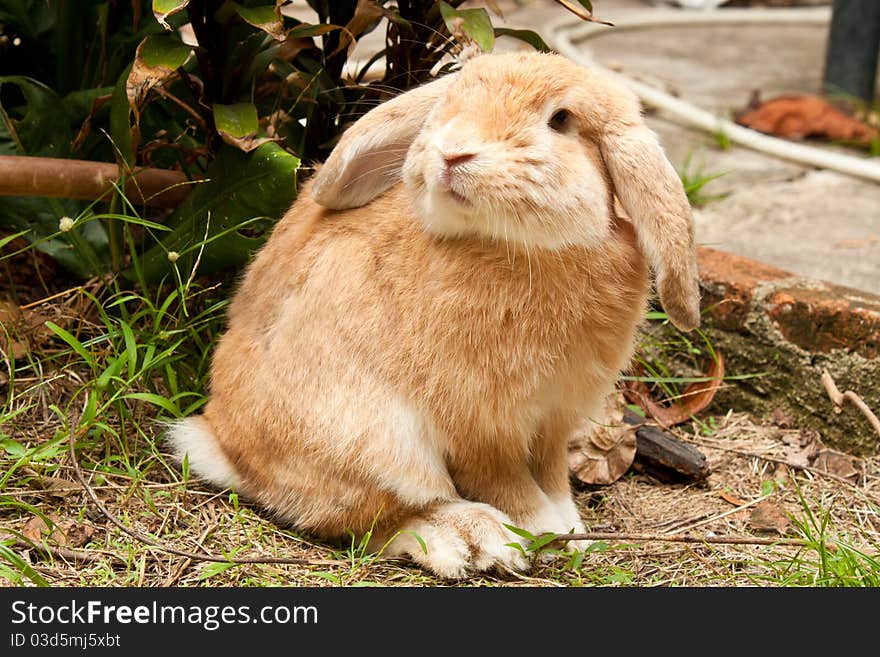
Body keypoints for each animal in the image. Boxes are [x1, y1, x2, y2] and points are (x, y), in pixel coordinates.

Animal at [168, 51, 696, 576]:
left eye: (561, 120)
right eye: (450, 99)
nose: (453, 153)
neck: (518, 247)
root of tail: (221, 442)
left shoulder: (553, 419)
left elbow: (551, 475)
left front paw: (570, 531)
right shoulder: (480, 427)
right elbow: (507, 483)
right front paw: (542, 531)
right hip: (370, 438)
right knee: (376, 517)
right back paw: (474, 538)